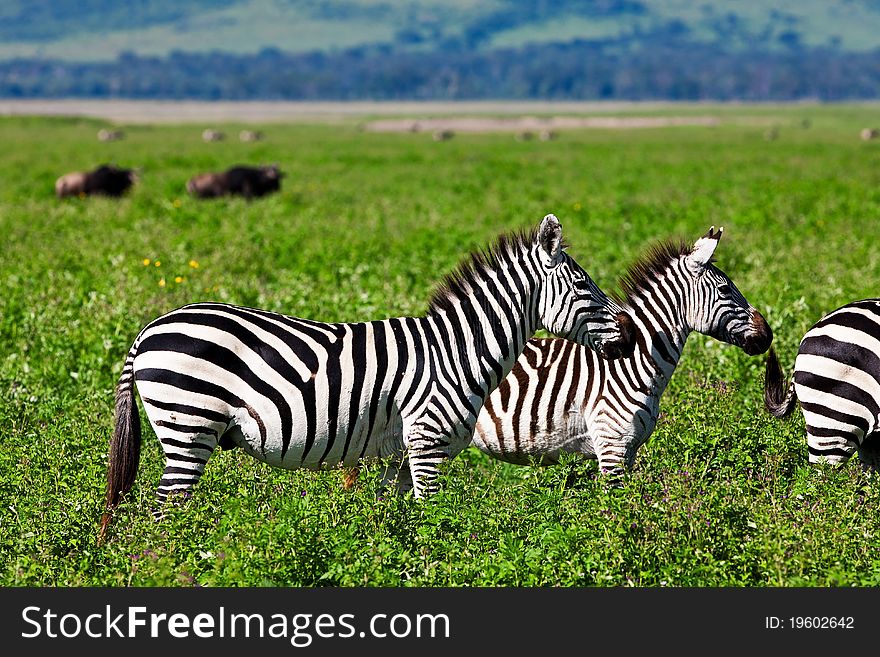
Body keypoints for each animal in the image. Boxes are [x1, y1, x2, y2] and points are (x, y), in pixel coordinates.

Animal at [99, 215, 636, 540]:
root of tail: (148, 329)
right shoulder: (427, 442)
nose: (628, 339)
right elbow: (430, 518)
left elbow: (394, 522)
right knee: (165, 513)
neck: (457, 350)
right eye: (584, 284)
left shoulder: (397, 455)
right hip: (188, 425)